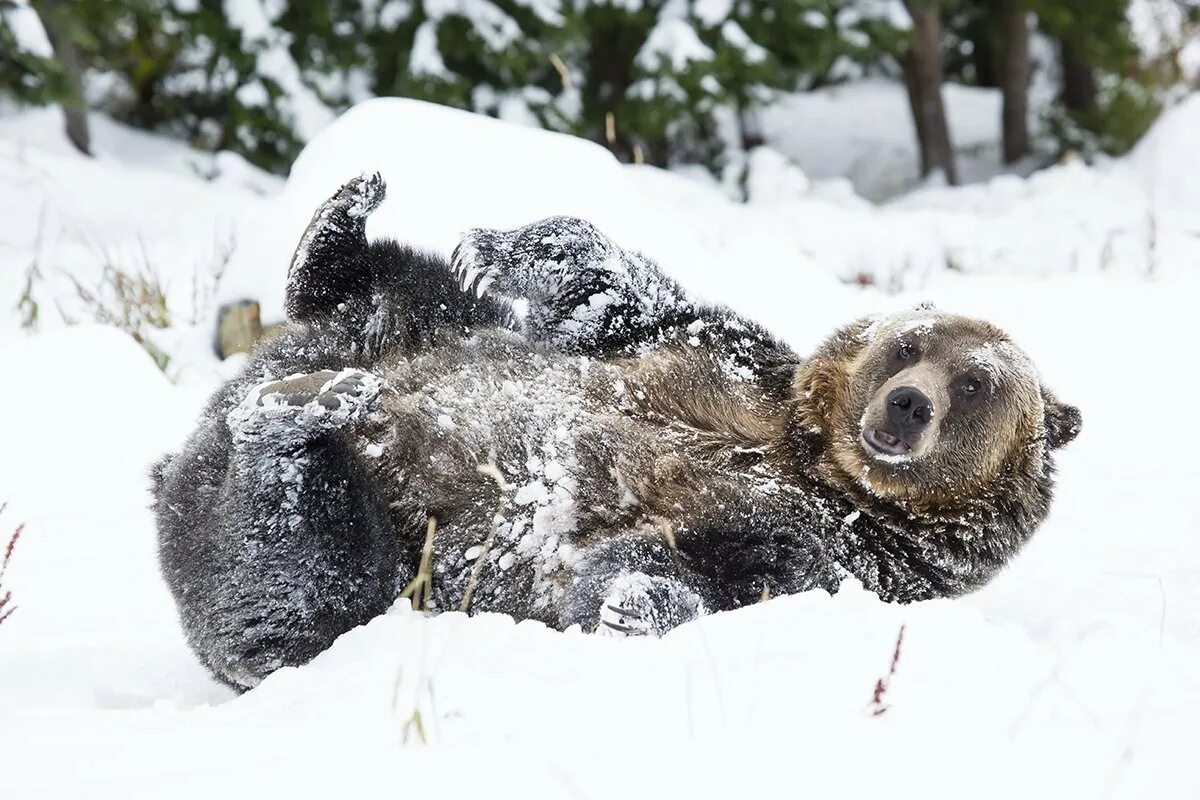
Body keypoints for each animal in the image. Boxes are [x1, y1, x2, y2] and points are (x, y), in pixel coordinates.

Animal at [147, 173, 1080, 690]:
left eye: (975, 383)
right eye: (910, 343)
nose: (908, 403)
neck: (819, 464)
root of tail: (181, 466)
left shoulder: (834, 556)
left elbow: (693, 572)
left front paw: (632, 603)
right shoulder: (719, 362)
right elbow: (617, 289)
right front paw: (494, 244)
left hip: (376, 573)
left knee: (296, 571)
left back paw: (298, 419)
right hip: (416, 333)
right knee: (395, 288)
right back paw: (338, 231)